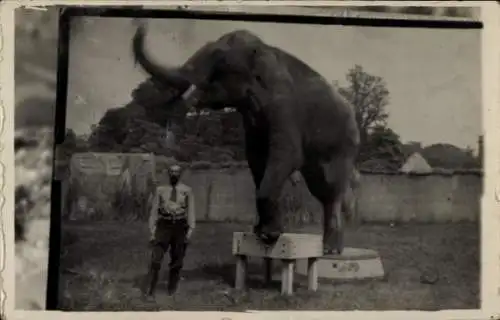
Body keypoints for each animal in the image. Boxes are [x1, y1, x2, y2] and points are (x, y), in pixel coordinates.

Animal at [132, 25, 360, 255]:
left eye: (219, 60)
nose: (142, 24)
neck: (263, 49)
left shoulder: (285, 108)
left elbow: (288, 156)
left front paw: (270, 236)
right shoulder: (252, 122)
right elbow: (256, 159)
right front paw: (259, 233)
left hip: (344, 145)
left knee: (332, 188)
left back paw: (331, 250)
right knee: (321, 188)